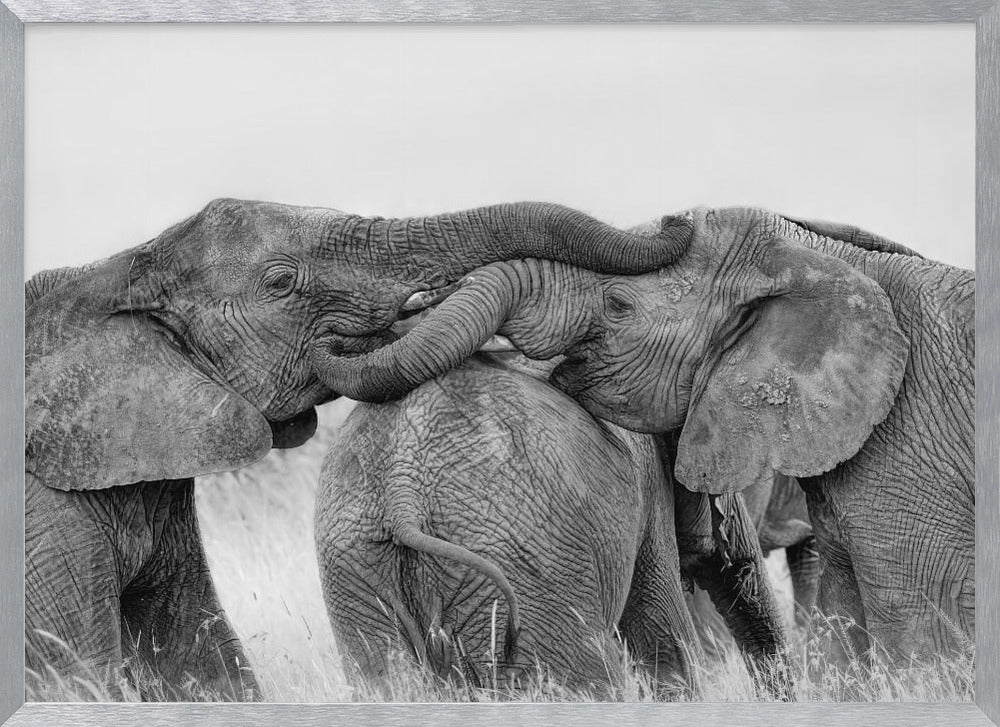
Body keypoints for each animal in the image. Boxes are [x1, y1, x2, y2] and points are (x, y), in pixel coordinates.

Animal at [24, 198, 693, 700]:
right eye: (280, 282)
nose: (677, 220)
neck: (108, 276)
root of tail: (402, 487)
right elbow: (77, 673)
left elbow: (197, 654)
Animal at [316, 352, 789, 699]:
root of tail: (403, 488)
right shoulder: (648, 491)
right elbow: (664, 644)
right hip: (526, 566)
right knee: (586, 682)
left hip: (353, 568)